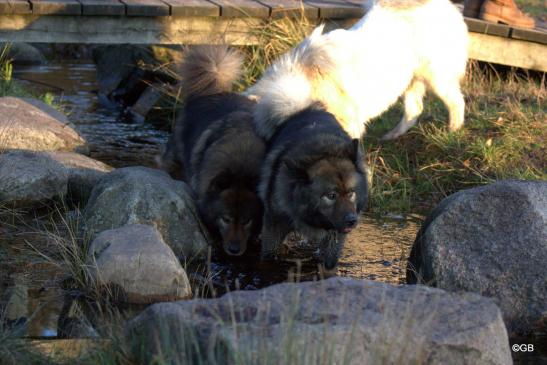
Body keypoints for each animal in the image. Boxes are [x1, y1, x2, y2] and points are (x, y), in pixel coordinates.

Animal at [250, 0, 468, 139]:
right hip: (409, 80)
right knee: (415, 109)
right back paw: (392, 136)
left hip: (437, 77)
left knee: (457, 102)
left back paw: (453, 131)